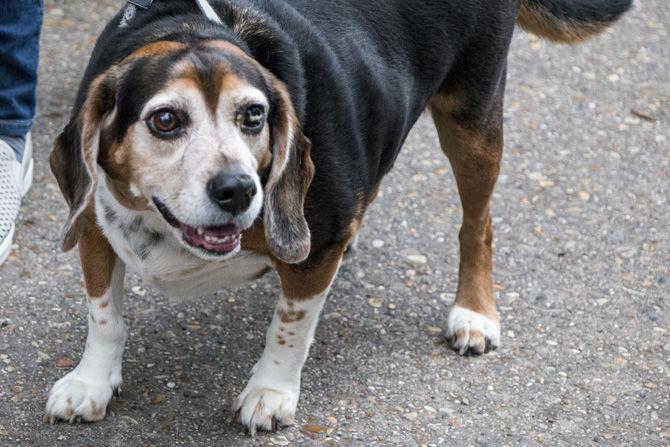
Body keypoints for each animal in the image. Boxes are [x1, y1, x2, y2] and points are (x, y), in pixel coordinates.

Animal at [44, 0, 632, 436]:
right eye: (165, 120)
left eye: (253, 115)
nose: (239, 190)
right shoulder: (92, 221)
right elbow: (105, 316)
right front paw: (91, 383)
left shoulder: (315, 249)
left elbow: (288, 327)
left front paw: (270, 393)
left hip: (472, 117)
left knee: (477, 224)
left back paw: (475, 314)